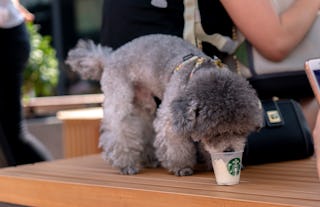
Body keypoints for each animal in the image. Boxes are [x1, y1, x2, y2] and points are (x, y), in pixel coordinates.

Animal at [65, 34, 262, 176]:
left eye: (240, 131)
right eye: (215, 133)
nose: (229, 151)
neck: (197, 73)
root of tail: (110, 56)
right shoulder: (171, 117)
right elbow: (175, 143)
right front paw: (181, 167)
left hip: (143, 101)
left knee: (143, 124)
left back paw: (149, 159)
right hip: (119, 93)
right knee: (119, 126)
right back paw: (126, 164)